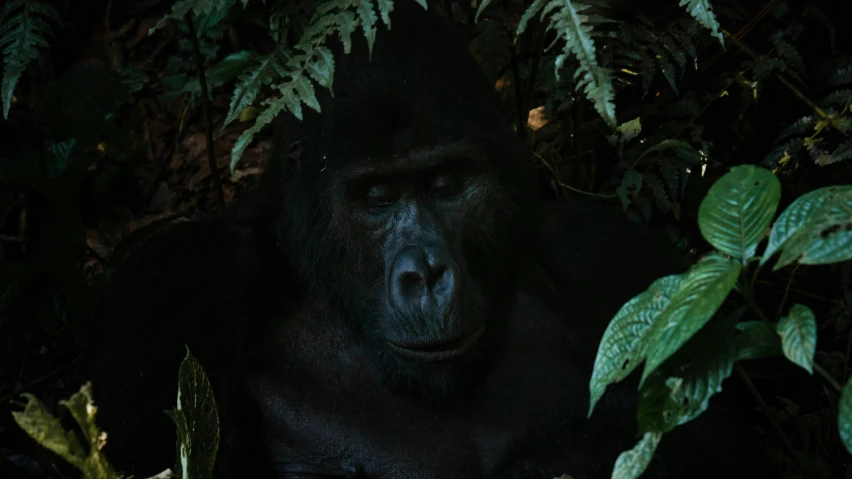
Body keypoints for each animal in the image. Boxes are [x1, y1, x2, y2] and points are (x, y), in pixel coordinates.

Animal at [85, 1, 764, 478]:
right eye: (377, 197)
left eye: (446, 184)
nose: (427, 275)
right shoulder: (185, 280)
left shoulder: (610, 259)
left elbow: (708, 434)